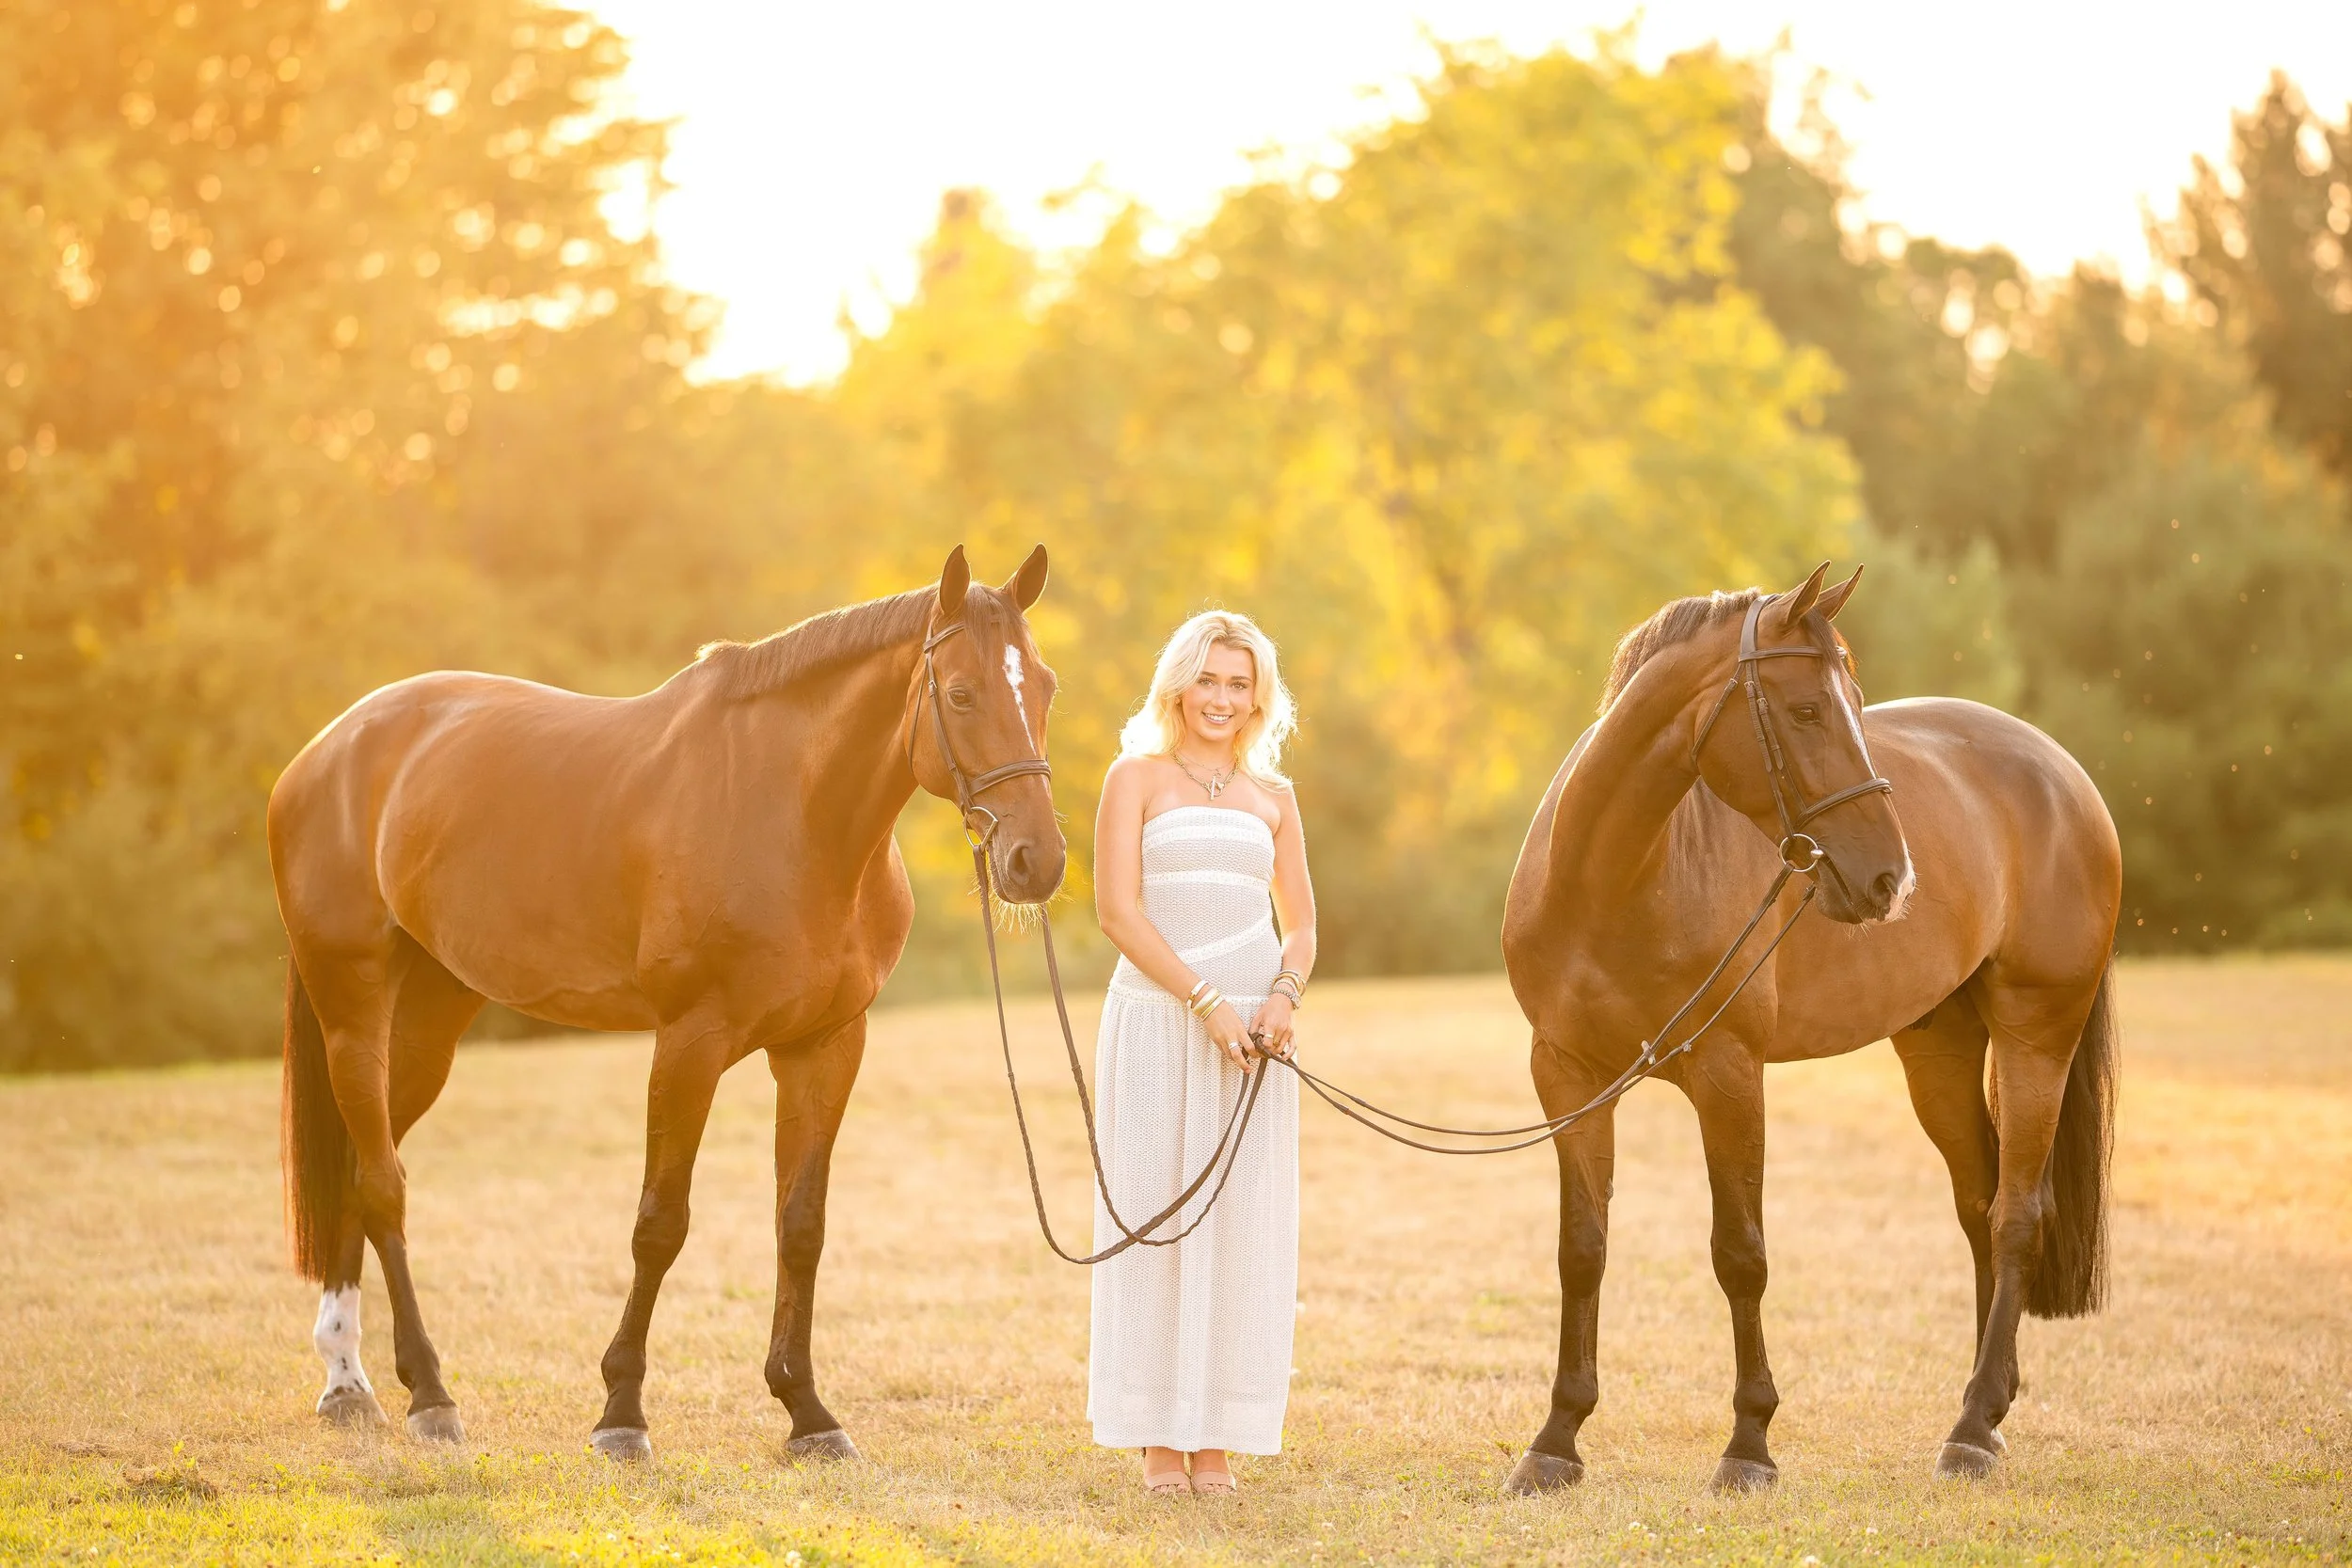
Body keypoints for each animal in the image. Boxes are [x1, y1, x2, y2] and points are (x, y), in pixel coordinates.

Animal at [269, 544, 1064, 1461]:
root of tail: (325, 751)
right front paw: (622, 1411)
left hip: (432, 1021)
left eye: (1045, 687)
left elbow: (801, 1225)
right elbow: (660, 1222)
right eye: (963, 693)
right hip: (353, 1007)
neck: (792, 813)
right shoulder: (689, 1042)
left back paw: (348, 1379)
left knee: (365, 1170)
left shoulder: (827, 1045)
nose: (1037, 861)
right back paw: (423, 1391)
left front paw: (807, 1411)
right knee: (381, 1182)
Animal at [1500, 563, 2120, 1493]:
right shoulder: (1568, 1076)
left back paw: (1971, 1428)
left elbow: (1740, 1254)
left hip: (2036, 1036)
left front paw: (1749, 1444)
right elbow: (1583, 1248)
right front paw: (1556, 1439)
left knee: (2017, 1214)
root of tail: (2065, 775)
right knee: (1979, 1206)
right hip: (1937, 1051)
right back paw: (1989, 1405)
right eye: (1804, 711)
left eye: (1855, 704)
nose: (1891, 878)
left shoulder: (1728, 1074)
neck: (1614, 876)